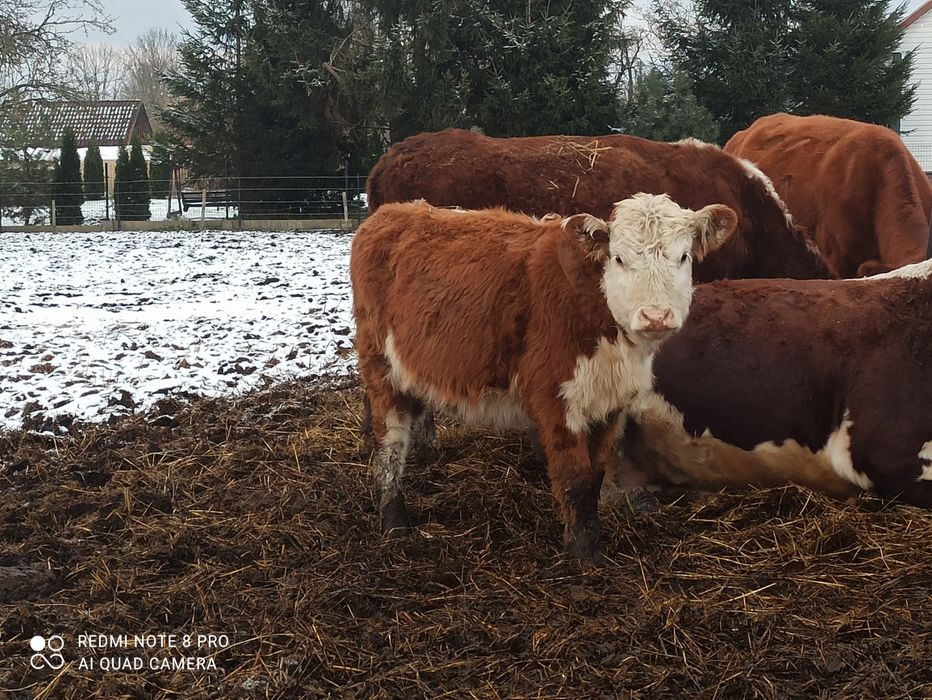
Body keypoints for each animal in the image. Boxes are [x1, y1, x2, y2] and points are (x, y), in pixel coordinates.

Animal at [354, 193, 740, 556]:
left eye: (684, 257)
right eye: (618, 258)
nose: (655, 316)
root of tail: (392, 212)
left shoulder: (610, 403)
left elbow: (594, 476)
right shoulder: (557, 400)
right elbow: (574, 478)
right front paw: (585, 555)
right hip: (380, 368)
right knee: (389, 443)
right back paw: (394, 521)